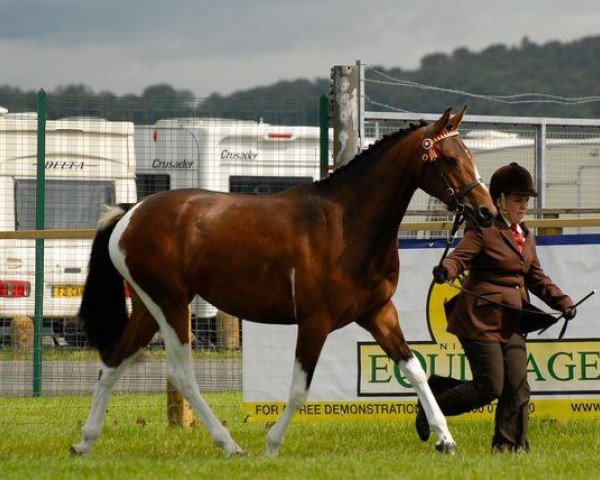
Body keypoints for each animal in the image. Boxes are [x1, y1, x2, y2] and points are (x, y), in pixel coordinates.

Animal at [72, 108, 494, 458]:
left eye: (470, 156)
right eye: (450, 158)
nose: (486, 212)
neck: (346, 224)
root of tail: (130, 213)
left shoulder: (379, 313)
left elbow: (415, 370)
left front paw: (445, 440)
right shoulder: (314, 322)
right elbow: (299, 388)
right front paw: (272, 444)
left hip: (150, 307)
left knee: (113, 361)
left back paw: (85, 441)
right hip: (170, 304)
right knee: (180, 374)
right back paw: (229, 445)